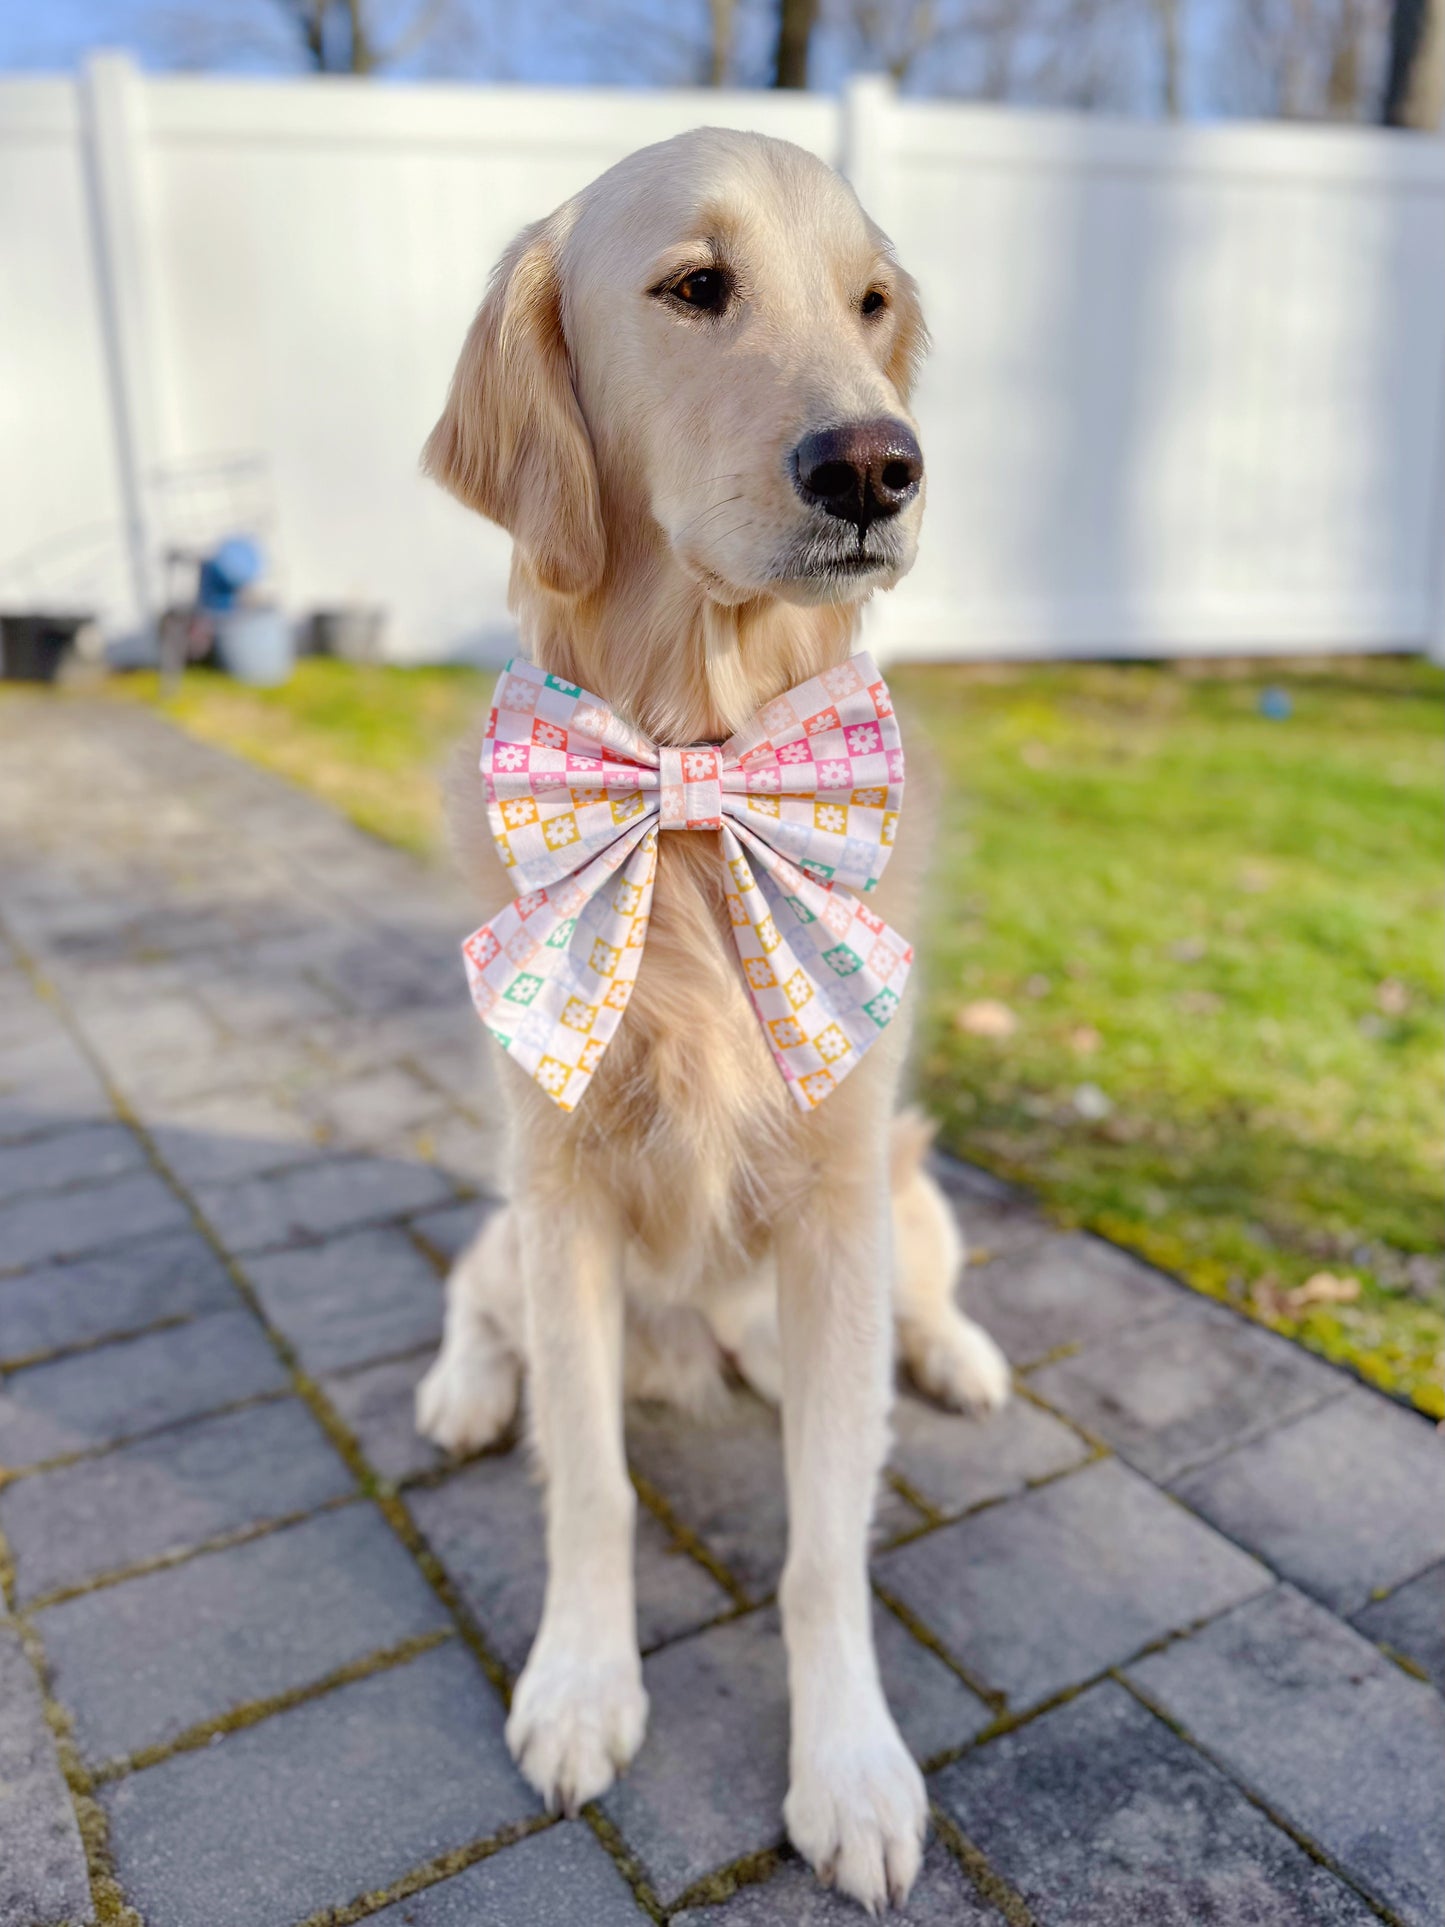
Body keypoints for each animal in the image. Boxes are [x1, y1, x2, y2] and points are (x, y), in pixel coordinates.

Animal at [412, 124, 1009, 1911]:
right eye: (695, 287)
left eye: (870, 304)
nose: (880, 466)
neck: (692, 797)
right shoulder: (559, 1197)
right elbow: (590, 1486)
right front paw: (580, 1687)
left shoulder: (834, 1213)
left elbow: (826, 1547)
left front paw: (852, 1769)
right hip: (511, 1226)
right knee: (473, 1304)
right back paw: (462, 1391)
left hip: (902, 1201)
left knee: (931, 1297)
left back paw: (958, 1354)